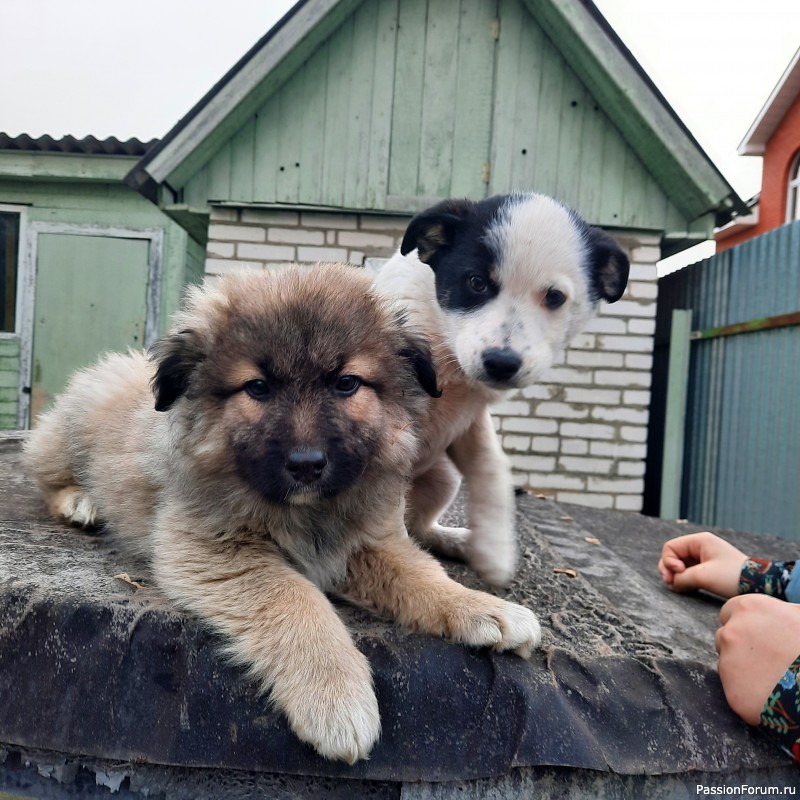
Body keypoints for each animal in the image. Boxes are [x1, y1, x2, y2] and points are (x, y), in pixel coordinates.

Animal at [23, 266, 544, 764]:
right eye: (258, 388)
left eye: (346, 383)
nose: (307, 464)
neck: (307, 512)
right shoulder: (214, 551)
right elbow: (296, 600)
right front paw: (335, 695)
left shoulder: (369, 541)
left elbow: (421, 575)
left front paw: (481, 607)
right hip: (66, 439)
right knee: (43, 474)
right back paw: (82, 502)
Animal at [372, 191, 628, 584]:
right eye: (476, 282)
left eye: (554, 297)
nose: (501, 363)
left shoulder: (468, 419)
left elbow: (491, 463)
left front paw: (493, 546)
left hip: (443, 478)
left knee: (419, 527)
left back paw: (459, 541)